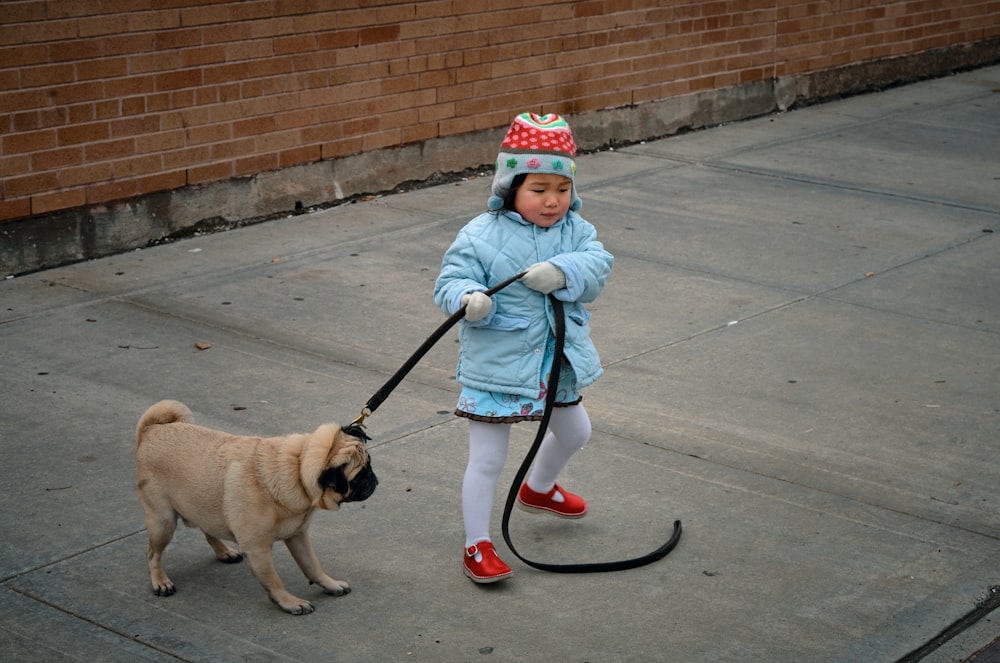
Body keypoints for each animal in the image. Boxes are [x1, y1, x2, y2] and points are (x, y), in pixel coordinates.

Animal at [135, 400, 376, 612]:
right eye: (358, 478)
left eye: (370, 465)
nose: (374, 480)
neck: (295, 467)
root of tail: (150, 430)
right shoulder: (258, 550)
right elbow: (274, 580)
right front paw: (289, 602)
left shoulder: (298, 536)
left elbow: (312, 566)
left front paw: (330, 585)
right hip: (163, 521)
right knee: (152, 553)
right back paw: (160, 582)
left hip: (203, 506)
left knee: (208, 530)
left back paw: (224, 552)